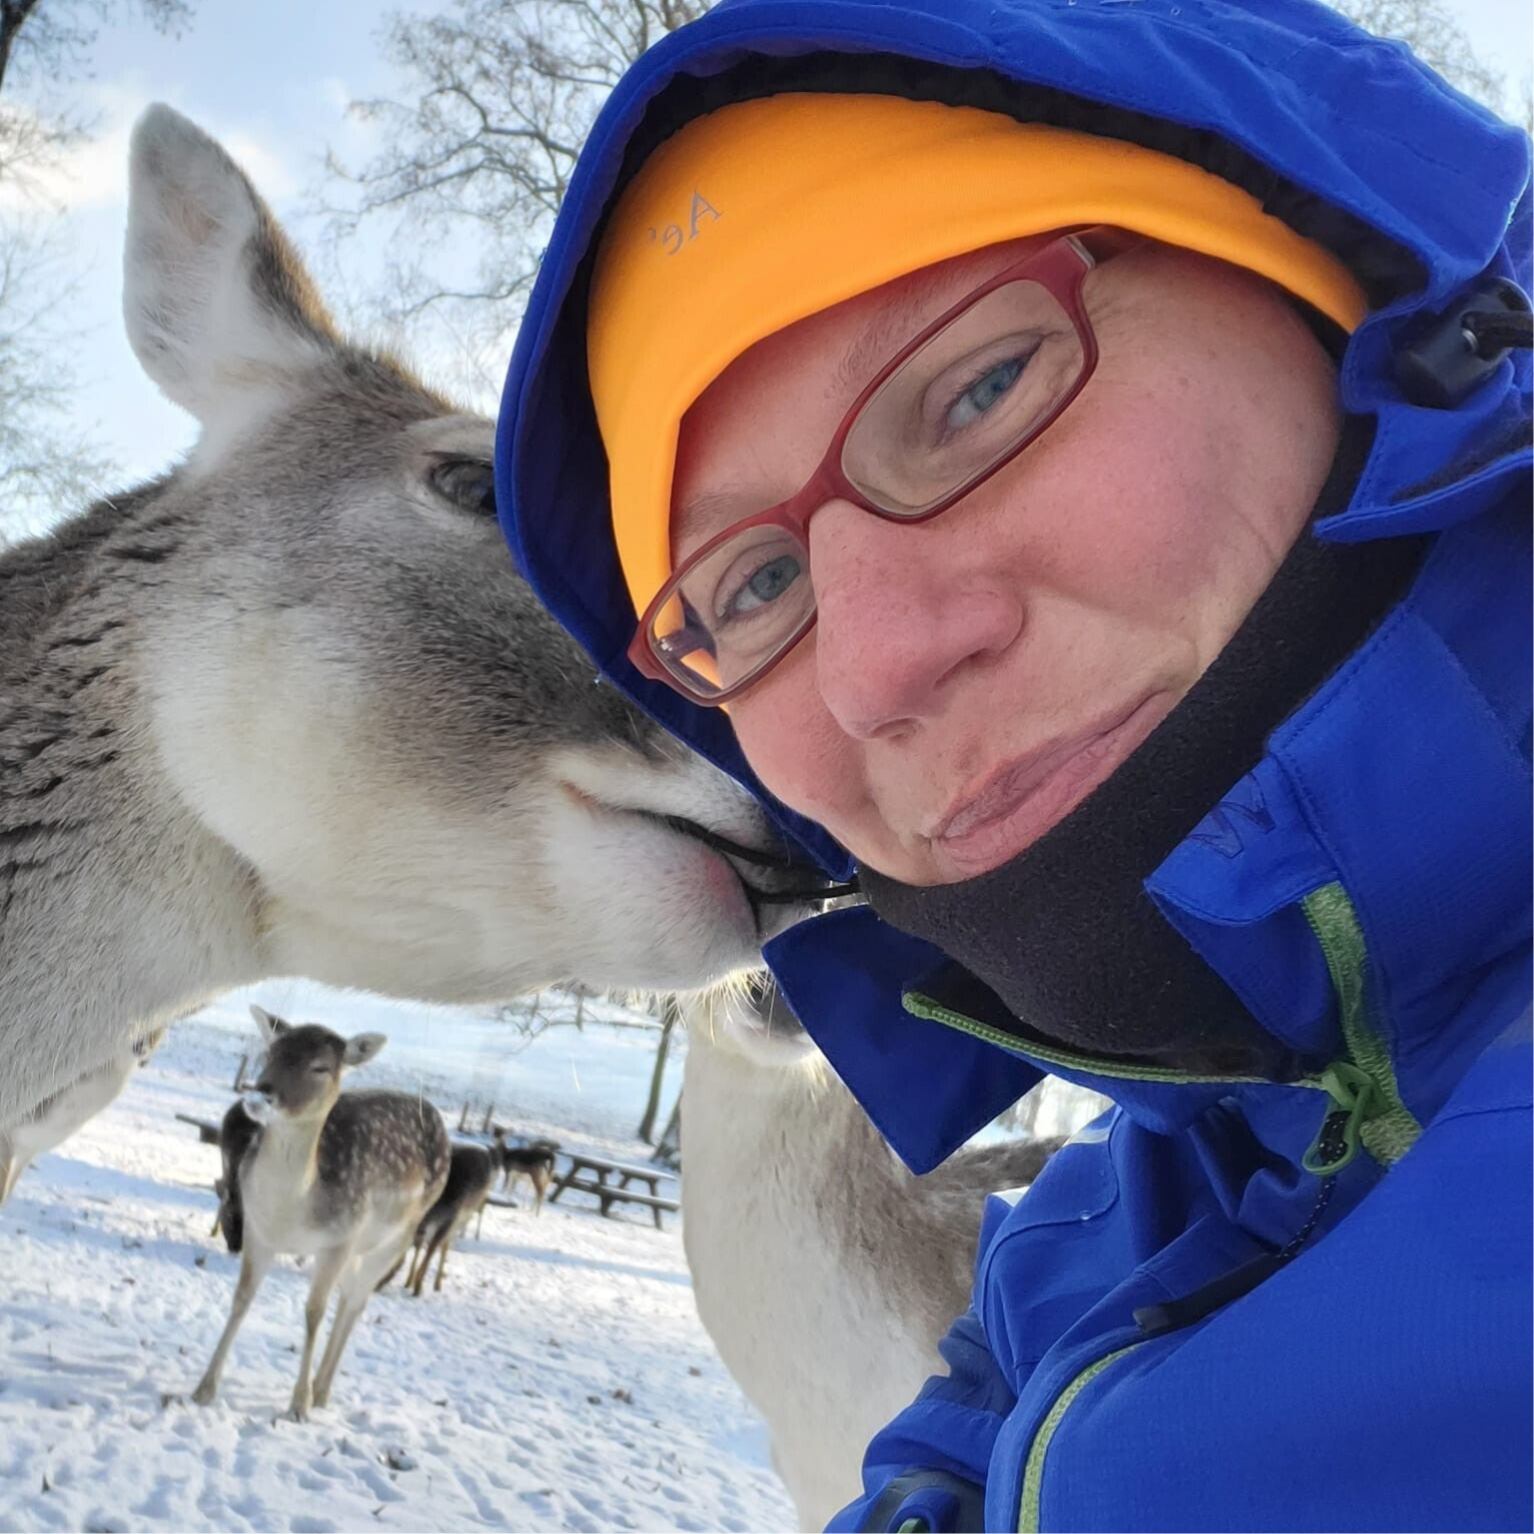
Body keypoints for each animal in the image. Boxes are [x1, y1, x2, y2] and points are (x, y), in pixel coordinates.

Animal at [193, 1004, 449, 1418]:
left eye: (320, 1067)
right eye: (271, 1052)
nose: (261, 1095)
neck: (291, 1213)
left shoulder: (338, 1239)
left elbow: (314, 1311)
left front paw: (298, 1405)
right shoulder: (258, 1232)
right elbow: (242, 1298)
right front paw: (203, 1389)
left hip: (395, 1237)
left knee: (358, 1300)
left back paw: (322, 1389)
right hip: (357, 1250)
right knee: (349, 1296)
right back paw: (320, 1386)